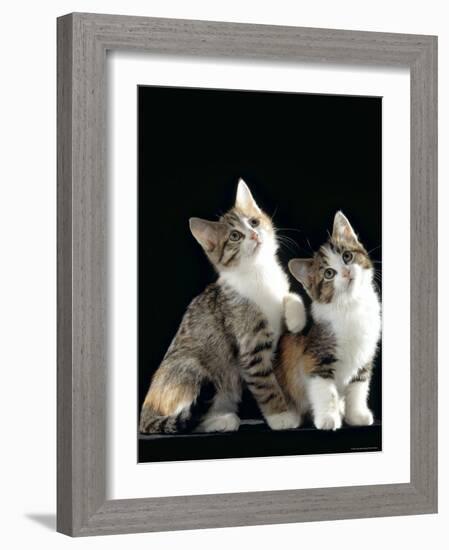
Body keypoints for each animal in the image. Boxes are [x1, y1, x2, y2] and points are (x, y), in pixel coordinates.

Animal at [139, 181, 304, 436]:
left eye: (254, 222)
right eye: (235, 236)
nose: (255, 234)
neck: (259, 272)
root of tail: (146, 410)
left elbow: (290, 295)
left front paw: (296, 318)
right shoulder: (251, 347)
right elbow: (266, 385)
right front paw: (281, 416)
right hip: (192, 368)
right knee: (189, 419)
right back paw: (223, 421)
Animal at [274, 211, 380, 432]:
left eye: (347, 256)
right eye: (329, 273)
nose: (346, 272)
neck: (350, 305)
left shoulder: (364, 355)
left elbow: (358, 387)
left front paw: (356, 415)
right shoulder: (315, 356)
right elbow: (325, 390)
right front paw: (328, 419)